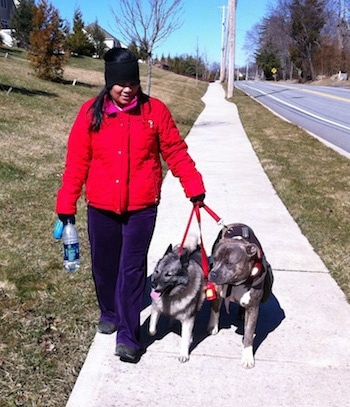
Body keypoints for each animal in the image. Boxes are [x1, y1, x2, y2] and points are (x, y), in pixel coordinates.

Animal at [150, 236, 205, 364]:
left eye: (168, 275)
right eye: (157, 271)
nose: (153, 284)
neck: (171, 296)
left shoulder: (188, 319)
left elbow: (185, 339)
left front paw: (184, 354)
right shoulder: (156, 308)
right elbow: (152, 328)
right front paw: (154, 333)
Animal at [208, 223, 274, 370]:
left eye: (229, 263)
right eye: (215, 259)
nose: (212, 274)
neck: (236, 283)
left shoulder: (253, 307)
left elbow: (249, 333)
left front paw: (247, 357)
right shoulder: (218, 293)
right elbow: (215, 311)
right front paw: (212, 327)